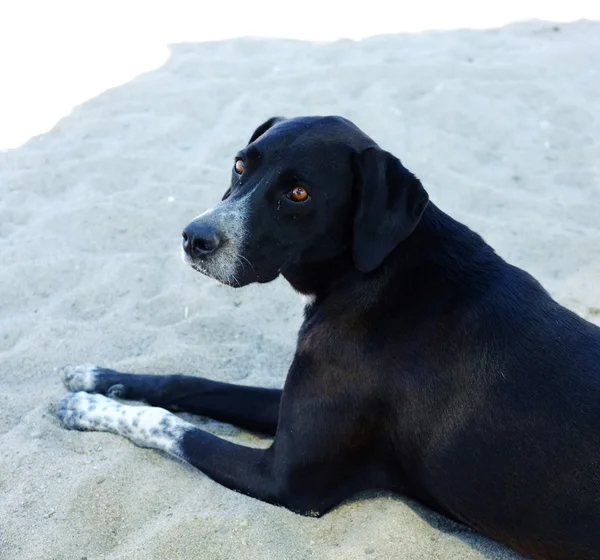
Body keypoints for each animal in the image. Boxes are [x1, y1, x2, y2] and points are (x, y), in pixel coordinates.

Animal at [58, 116, 600, 556]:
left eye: (298, 194)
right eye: (240, 165)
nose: (195, 237)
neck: (370, 274)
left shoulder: (285, 478)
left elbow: (170, 426)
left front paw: (90, 408)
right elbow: (189, 382)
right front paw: (99, 377)